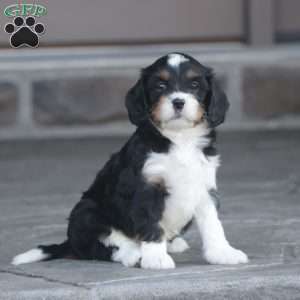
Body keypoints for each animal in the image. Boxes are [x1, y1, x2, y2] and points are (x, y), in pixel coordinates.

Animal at [12, 52, 248, 268]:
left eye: (195, 84)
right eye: (160, 86)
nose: (178, 102)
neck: (180, 139)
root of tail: (70, 243)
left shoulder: (204, 187)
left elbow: (213, 224)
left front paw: (223, 253)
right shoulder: (148, 188)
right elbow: (151, 223)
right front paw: (156, 258)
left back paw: (173, 243)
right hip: (87, 212)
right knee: (104, 246)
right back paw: (134, 254)